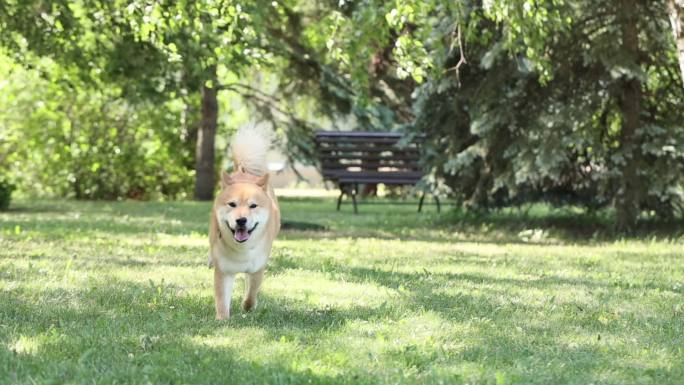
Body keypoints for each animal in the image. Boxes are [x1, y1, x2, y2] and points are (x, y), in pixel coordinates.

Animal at [211, 127, 280, 320]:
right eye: (232, 204)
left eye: (253, 206)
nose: (241, 220)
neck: (241, 249)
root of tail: (243, 171)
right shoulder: (224, 271)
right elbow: (221, 299)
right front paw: (222, 319)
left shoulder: (257, 269)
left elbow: (251, 294)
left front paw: (247, 307)